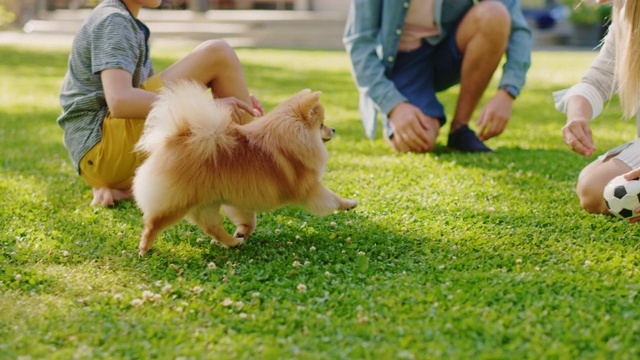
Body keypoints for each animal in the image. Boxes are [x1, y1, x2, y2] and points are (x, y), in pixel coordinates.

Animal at [132, 81, 358, 256]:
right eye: (321, 125)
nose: (334, 129)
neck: (293, 137)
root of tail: (179, 136)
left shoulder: (240, 199)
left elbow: (249, 221)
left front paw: (241, 233)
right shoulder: (311, 187)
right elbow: (332, 198)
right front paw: (349, 203)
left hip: (206, 202)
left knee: (212, 226)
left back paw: (232, 242)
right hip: (177, 202)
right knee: (153, 222)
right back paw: (144, 248)